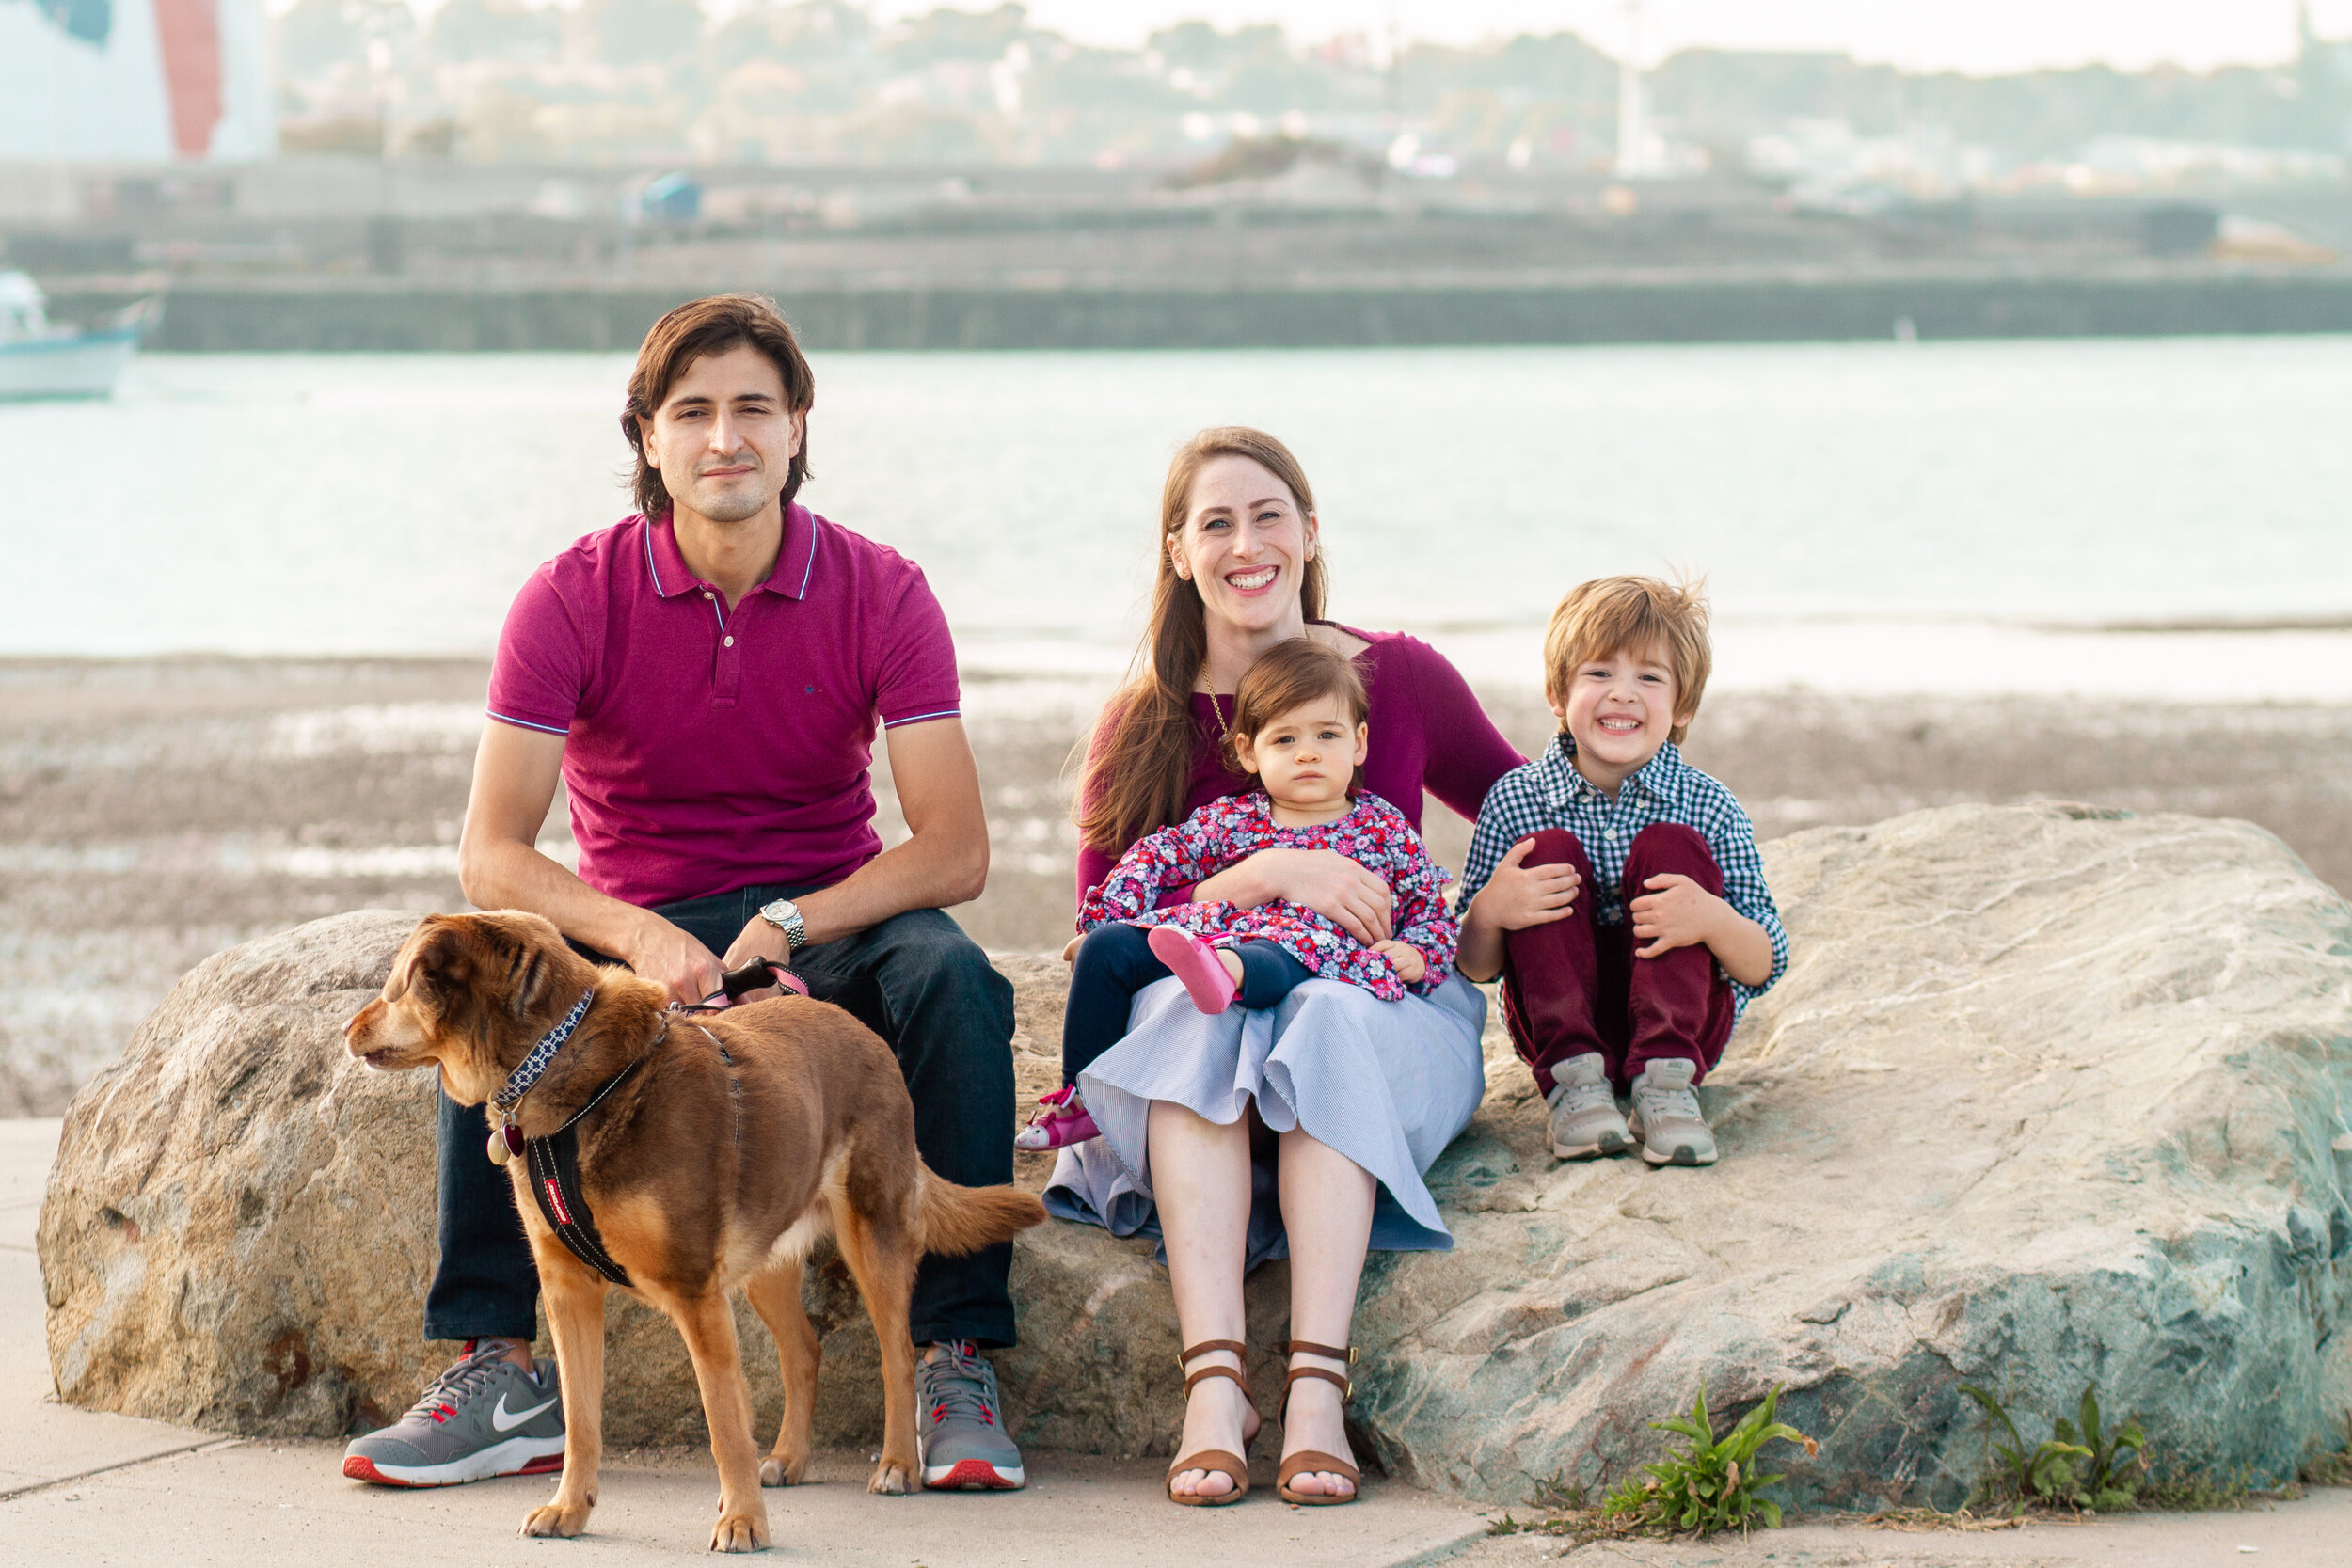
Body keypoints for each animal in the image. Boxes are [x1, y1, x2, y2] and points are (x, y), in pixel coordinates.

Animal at [343, 911, 1044, 1551]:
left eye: (399, 983)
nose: (347, 1030)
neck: (564, 1065)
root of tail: (864, 1032)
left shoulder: (694, 1292)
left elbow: (724, 1423)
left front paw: (744, 1520)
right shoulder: (570, 1292)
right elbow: (581, 1417)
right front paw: (570, 1507)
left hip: (873, 1236)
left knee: (895, 1354)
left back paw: (898, 1463)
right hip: (764, 1259)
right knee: (803, 1351)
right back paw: (788, 1458)